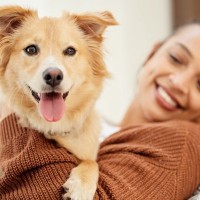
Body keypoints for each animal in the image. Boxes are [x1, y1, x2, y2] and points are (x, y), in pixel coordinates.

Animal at [0, 5, 116, 199]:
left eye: (70, 51)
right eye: (31, 49)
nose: (53, 76)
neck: (55, 125)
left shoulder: (89, 152)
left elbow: (92, 163)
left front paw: (81, 187)